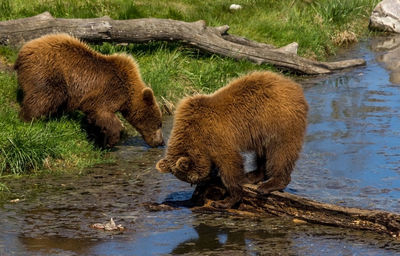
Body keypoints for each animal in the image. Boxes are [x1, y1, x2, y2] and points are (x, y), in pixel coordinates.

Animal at [14, 33, 164, 147]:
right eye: (158, 124)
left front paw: (97, 135)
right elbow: (101, 111)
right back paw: (29, 120)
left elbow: (93, 117)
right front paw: (112, 139)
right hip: (48, 71)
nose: (161, 142)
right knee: (44, 96)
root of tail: (23, 51)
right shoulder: (109, 90)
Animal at [157, 71, 310, 209]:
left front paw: (226, 200)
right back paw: (254, 175)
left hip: (278, 119)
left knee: (281, 150)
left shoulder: (216, 136)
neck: (194, 134)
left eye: (193, 180)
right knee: (262, 151)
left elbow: (229, 163)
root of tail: (294, 86)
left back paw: (270, 184)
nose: (205, 181)